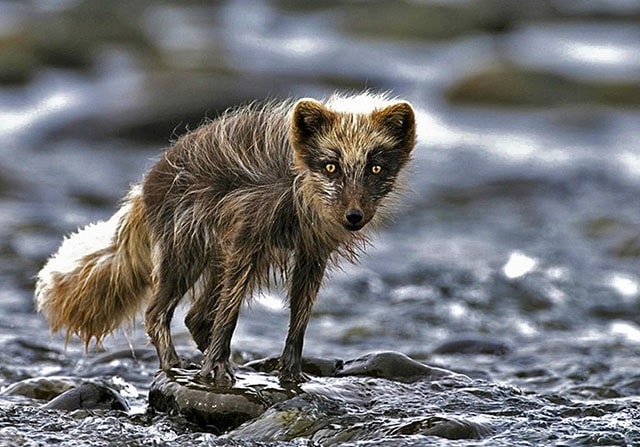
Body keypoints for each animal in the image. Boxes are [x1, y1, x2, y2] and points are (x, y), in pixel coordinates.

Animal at [35, 92, 417, 386]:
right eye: (331, 167)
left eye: (375, 168)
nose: (353, 217)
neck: (297, 187)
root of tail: (144, 187)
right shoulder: (246, 236)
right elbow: (229, 313)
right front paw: (216, 368)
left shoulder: (311, 252)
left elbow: (300, 317)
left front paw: (290, 373)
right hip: (187, 250)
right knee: (158, 311)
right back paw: (173, 364)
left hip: (229, 256)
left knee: (196, 316)